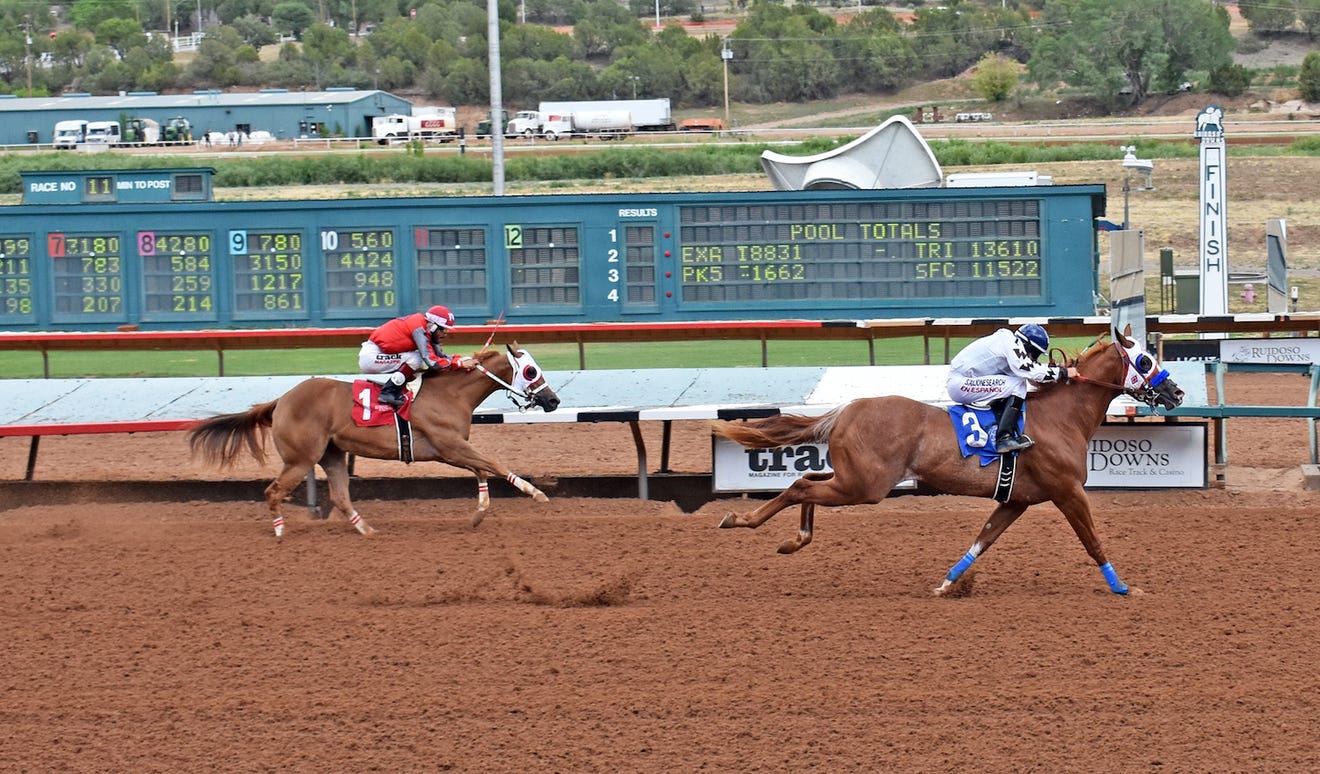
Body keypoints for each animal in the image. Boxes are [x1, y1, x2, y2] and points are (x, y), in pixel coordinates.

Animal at [186, 343, 557, 536]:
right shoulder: (449, 445)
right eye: (530, 371)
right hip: (300, 458)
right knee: (273, 491)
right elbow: (494, 464)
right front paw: (537, 493)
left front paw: (479, 514)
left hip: (331, 454)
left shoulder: (448, 450)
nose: (553, 400)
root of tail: (282, 400)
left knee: (339, 496)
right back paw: (279, 533)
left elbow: (482, 471)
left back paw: (367, 530)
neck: (449, 393)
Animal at [712, 324, 1188, 597]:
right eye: (1145, 359)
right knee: (799, 486)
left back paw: (793, 539)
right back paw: (743, 521)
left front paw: (948, 584)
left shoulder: (1016, 500)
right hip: (866, 486)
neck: (1060, 417)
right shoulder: (1067, 491)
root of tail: (845, 409)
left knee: (809, 478)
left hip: (854, 476)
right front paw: (1122, 587)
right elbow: (1092, 541)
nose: (1177, 392)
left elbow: (982, 540)